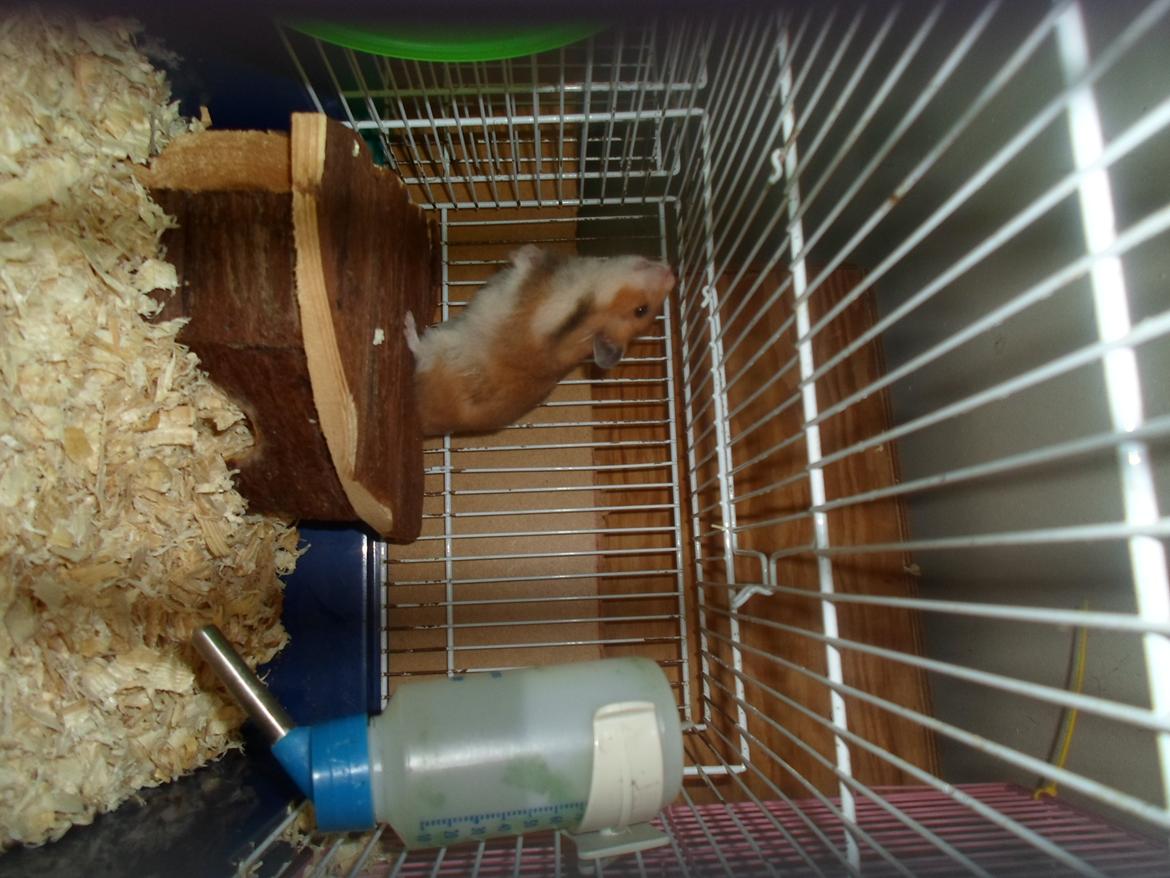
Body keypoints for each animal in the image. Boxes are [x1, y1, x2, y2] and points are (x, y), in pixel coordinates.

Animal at [405, 245, 676, 436]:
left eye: (641, 310)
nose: (673, 274)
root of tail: (424, 424)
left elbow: (524, 271)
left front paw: (521, 254)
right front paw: (526, 252)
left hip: (439, 351)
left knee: (418, 350)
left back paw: (407, 321)